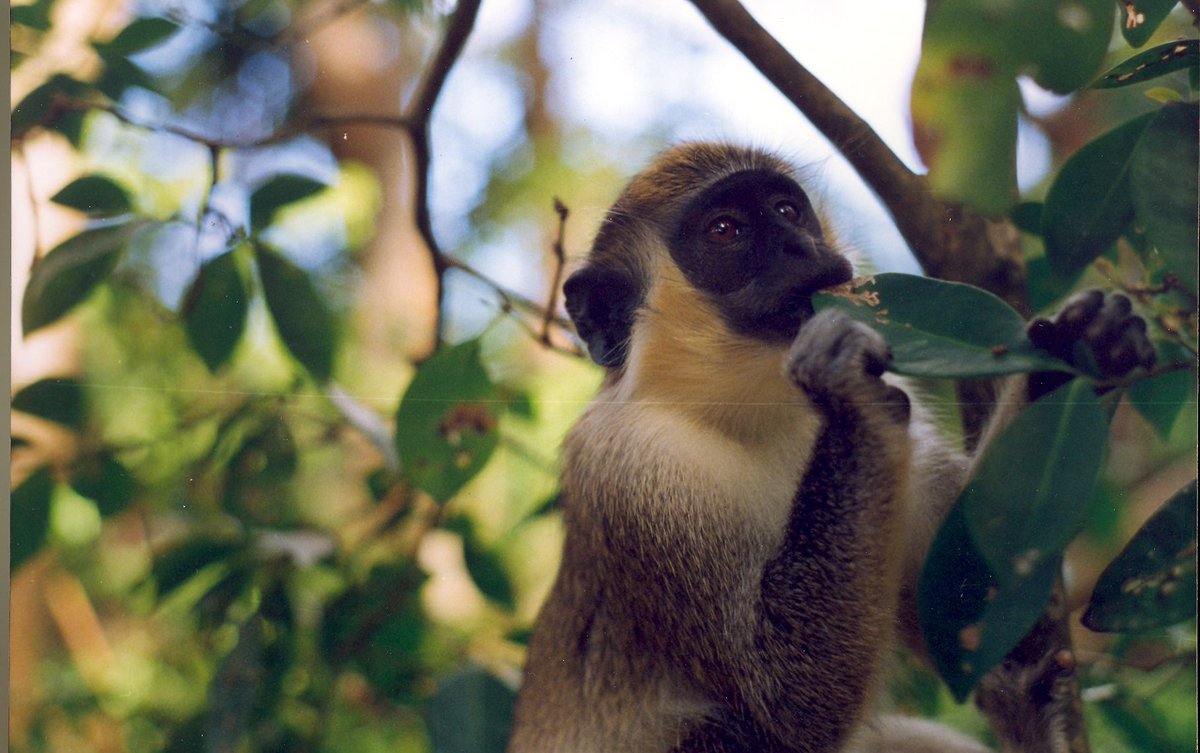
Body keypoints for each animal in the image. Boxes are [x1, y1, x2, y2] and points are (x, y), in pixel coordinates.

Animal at [506, 143, 1156, 753]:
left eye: (787, 211)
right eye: (725, 230)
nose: (801, 247)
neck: (753, 414)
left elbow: (964, 604)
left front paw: (1075, 351)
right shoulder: (632, 464)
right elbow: (790, 702)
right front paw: (845, 391)